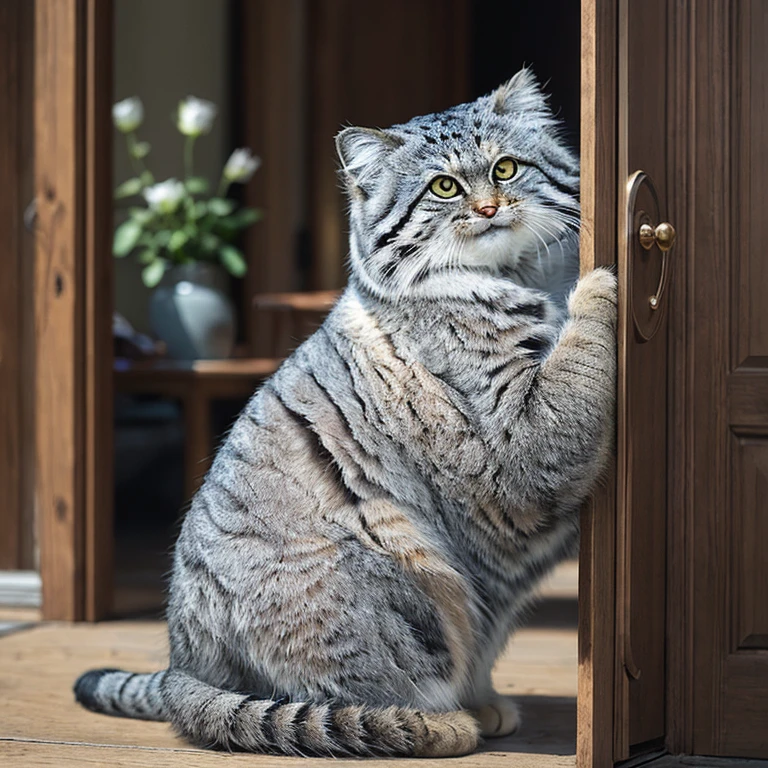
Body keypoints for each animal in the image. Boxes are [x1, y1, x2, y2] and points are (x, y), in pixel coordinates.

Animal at [72, 69, 616, 760]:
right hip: (391, 566)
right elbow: (575, 360)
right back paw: (447, 721)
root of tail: (181, 665)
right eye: (444, 186)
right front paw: (596, 288)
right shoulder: (522, 433)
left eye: (506, 168)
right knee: (361, 695)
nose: (490, 209)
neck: (518, 275)